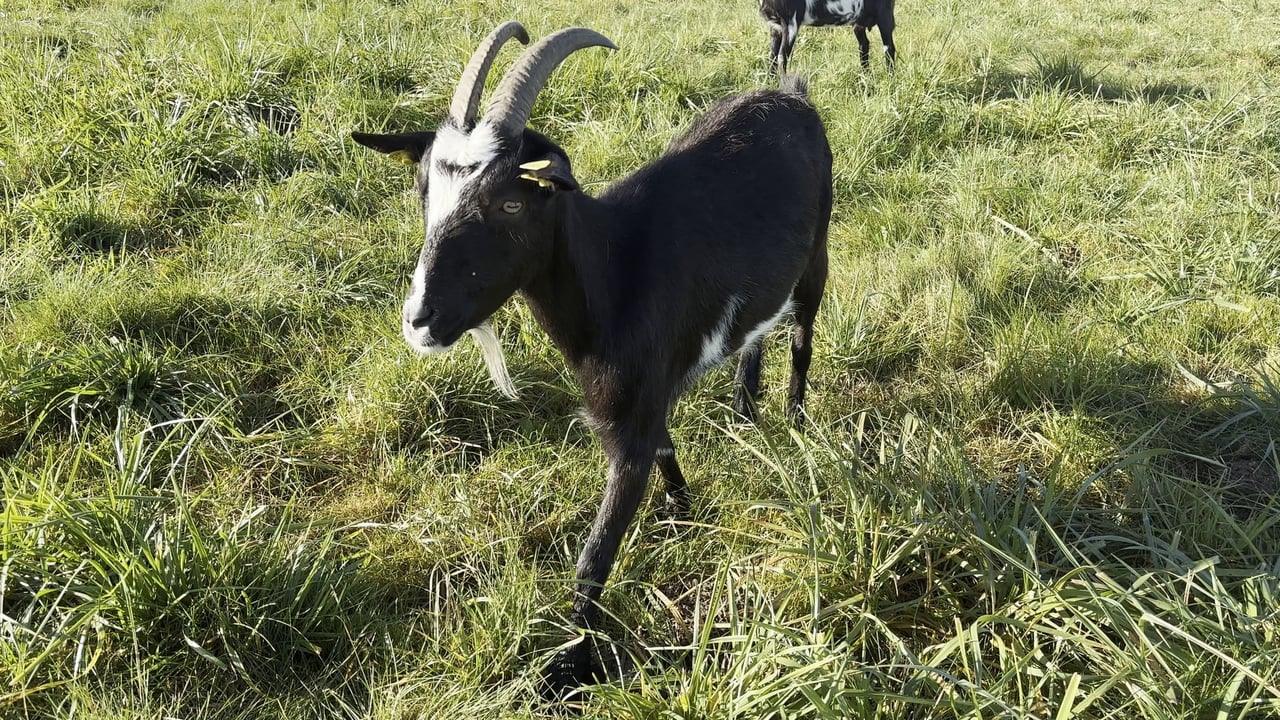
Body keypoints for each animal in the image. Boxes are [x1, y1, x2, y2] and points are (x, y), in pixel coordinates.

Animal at [351, 22, 832, 696]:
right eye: (425, 193)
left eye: (511, 203)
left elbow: (594, 554)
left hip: (817, 254)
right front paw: (685, 518)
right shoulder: (642, 401)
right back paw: (744, 408)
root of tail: (792, 96)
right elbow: (667, 453)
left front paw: (564, 666)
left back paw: (794, 422)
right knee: (758, 331)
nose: (420, 320)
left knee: (803, 336)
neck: (615, 273)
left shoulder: (630, 422)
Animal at [759, 0, 897, 73]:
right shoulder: (775, 27)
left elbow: (781, 58)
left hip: (885, 14)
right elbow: (772, 56)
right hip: (858, 21)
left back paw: (890, 79)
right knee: (864, 45)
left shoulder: (790, 23)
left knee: (889, 48)